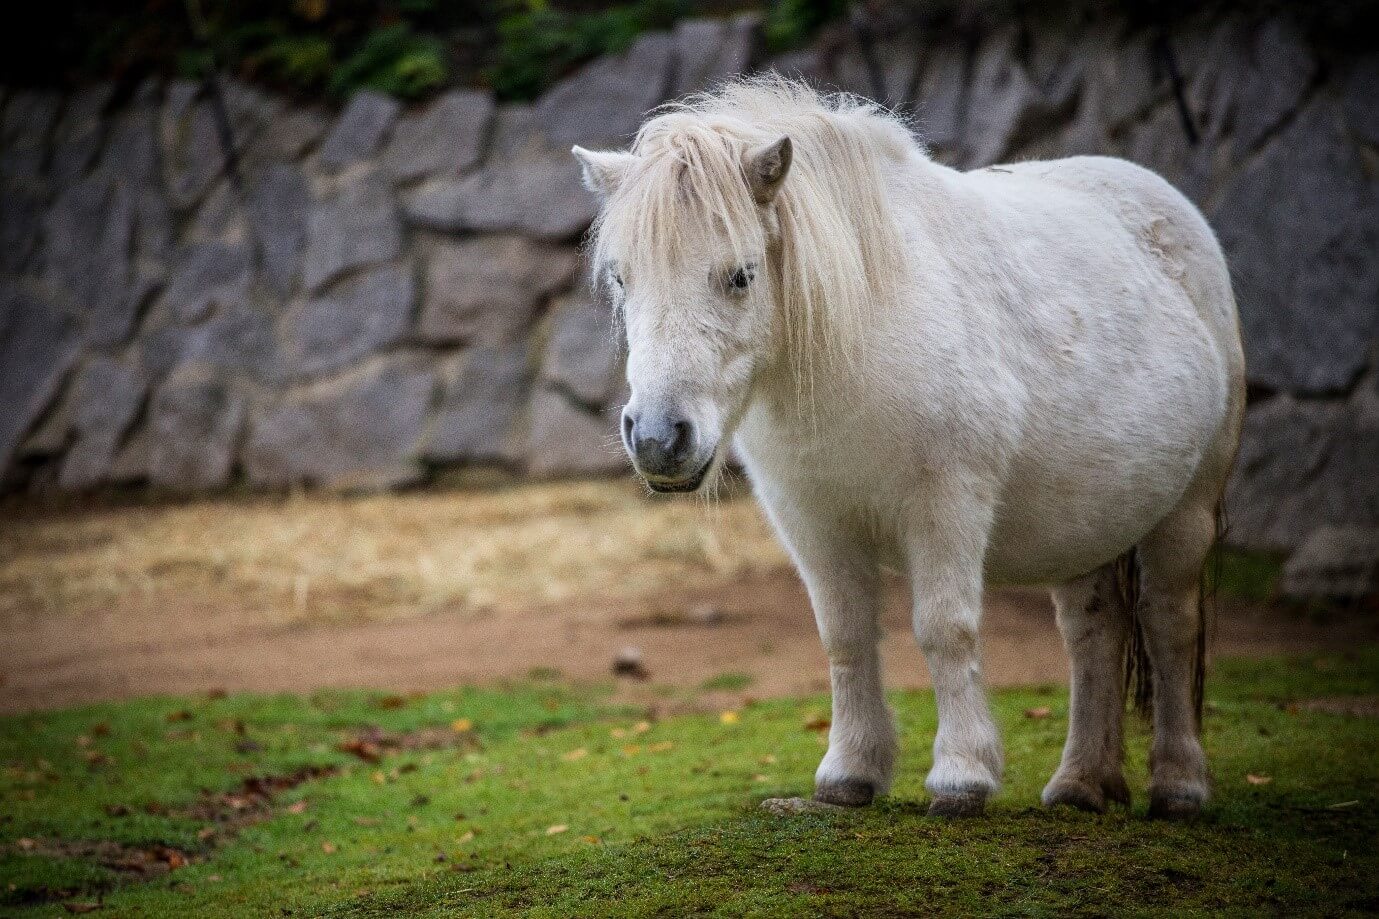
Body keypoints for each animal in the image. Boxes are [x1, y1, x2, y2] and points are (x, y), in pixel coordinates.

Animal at [576, 75, 1246, 811]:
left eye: (741, 275)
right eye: (621, 277)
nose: (658, 437)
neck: (861, 333)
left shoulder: (946, 504)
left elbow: (944, 628)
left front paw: (961, 775)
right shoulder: (811, 521)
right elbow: (843, 634)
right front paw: (849, 772)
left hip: (1187, 511)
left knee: (1168, 622)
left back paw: (1179, 784)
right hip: (1089, 527)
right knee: (1093, 630)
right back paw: (1080, 783)